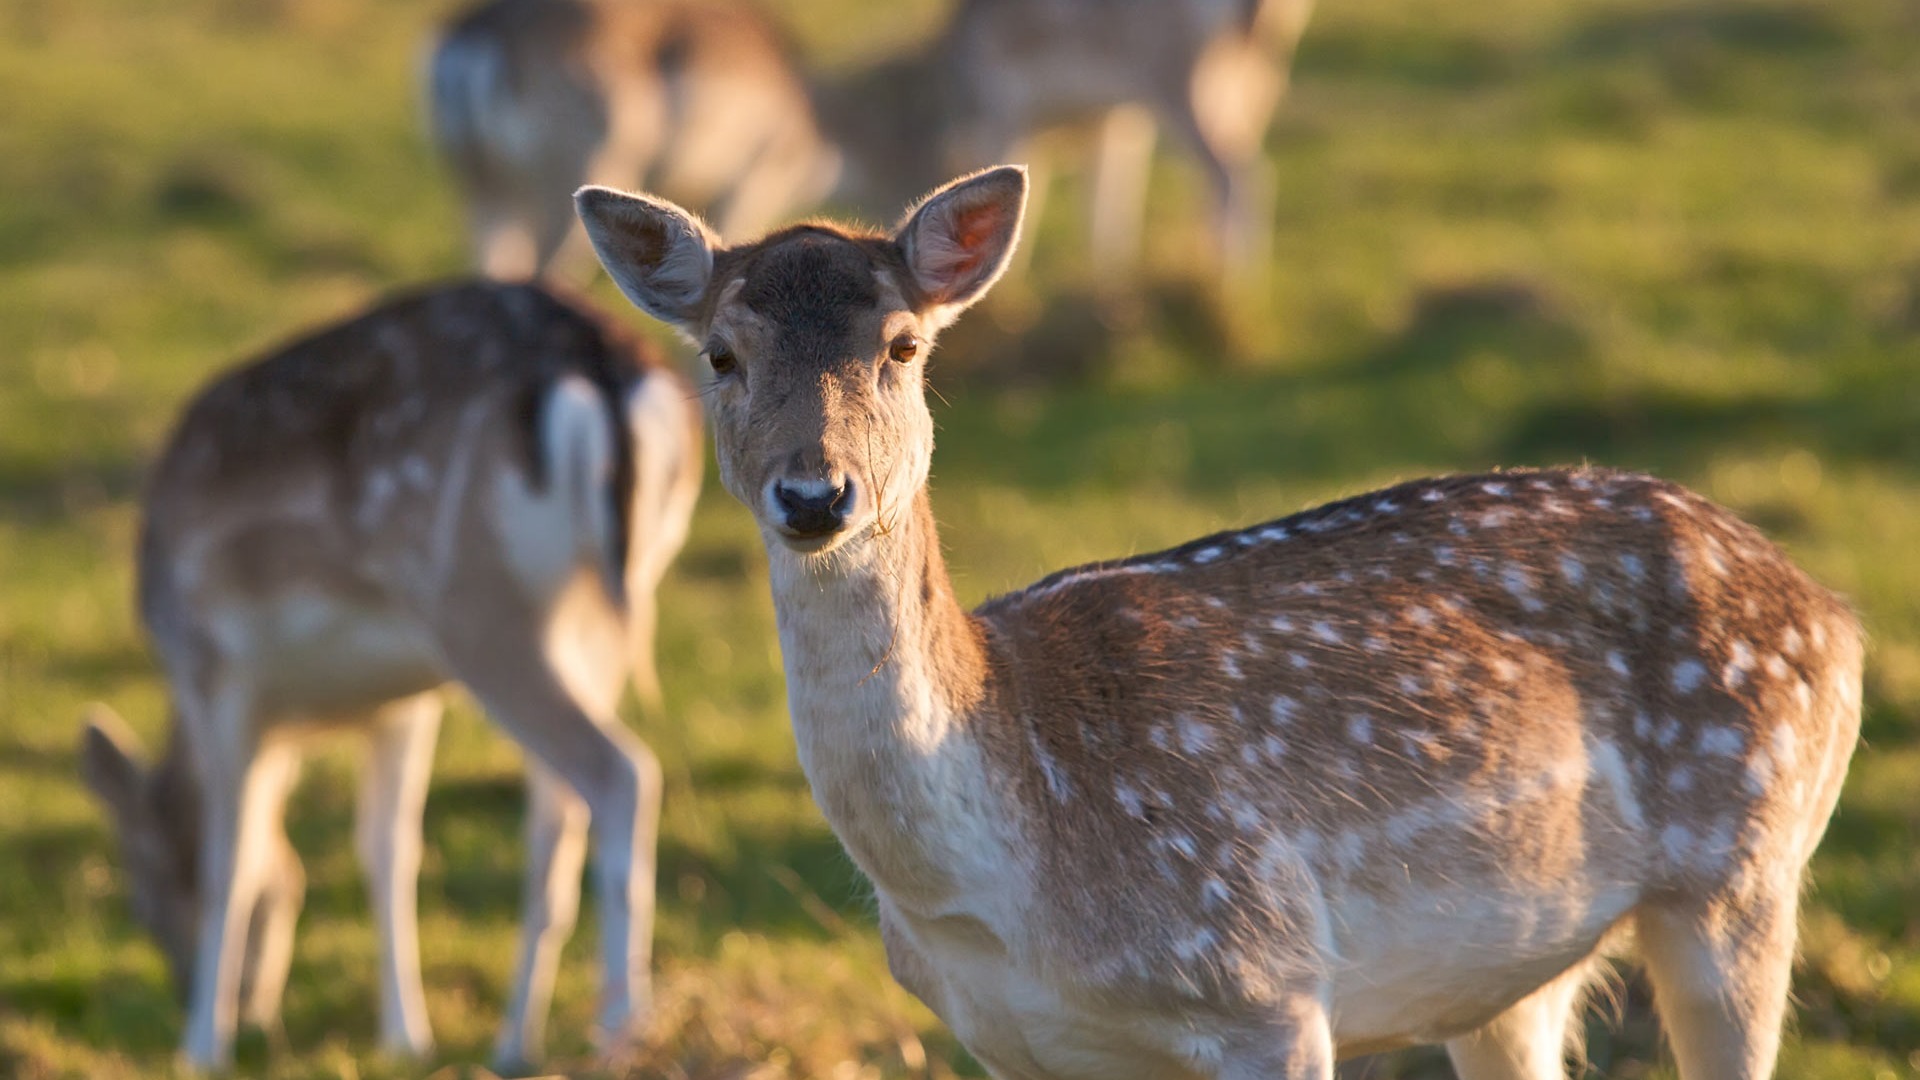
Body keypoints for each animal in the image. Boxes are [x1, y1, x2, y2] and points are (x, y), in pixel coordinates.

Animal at [78, 278, 706, 1068]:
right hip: (603, 606)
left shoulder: (214, 669)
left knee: (621, 772)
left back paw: (621, 1029)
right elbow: (386, 850)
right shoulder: (400, 702)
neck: (298, 720)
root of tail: (601, 368)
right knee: (556, 815)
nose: (193, 989)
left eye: (143, 895)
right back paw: (513, 1041)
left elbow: (234, 859)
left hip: (473, 601)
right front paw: (405, 1036)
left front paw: (201, 1047)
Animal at [576, 161, 1866, 1076]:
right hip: (1515, 965)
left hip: (1746, 870)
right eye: (721, 354)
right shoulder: (1015, 1047)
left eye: (902, 345)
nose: (814, 495)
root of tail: (1838, 615)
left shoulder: (1267, 987)